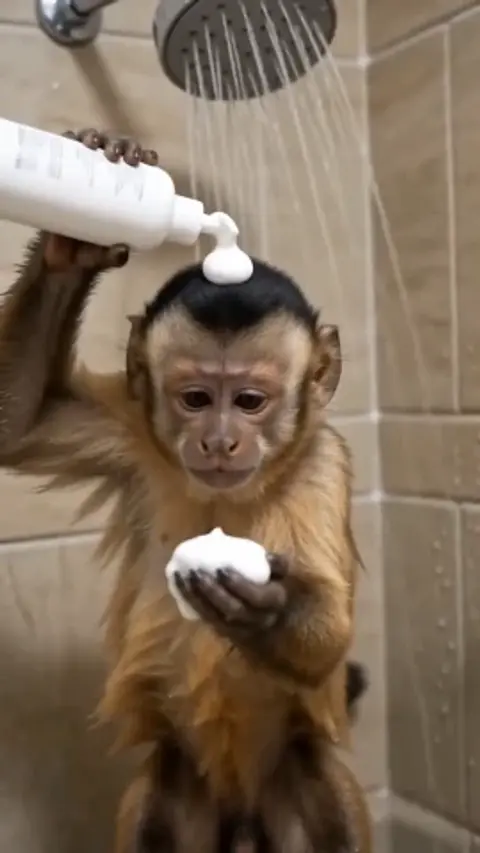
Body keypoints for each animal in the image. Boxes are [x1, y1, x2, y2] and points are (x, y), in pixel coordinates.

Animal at [0, 129, 372, 853]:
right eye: (196, 399)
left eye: (249, 401)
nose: (220, 441)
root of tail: (242, 809)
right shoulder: (132, 434)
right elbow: (14, 426)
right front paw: (75, 235)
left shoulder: (325, 463)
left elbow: (329, 632)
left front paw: (266, 606)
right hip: (180, 791)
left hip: (293, 782)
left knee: (326, 783)